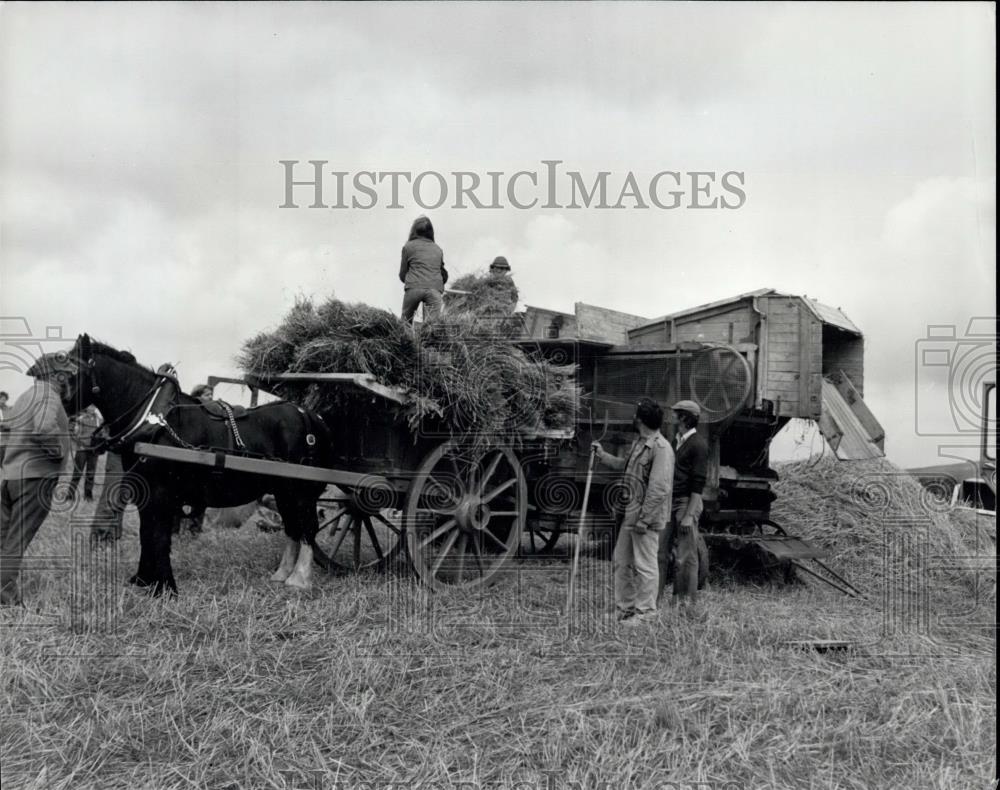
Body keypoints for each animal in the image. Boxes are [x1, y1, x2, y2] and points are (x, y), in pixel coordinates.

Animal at [60, 332, 334, 596]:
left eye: (68, 372)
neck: (153, 419)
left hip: (301, 490)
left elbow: (158, 535)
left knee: (308, 527)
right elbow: (146, 533)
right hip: (283, 490)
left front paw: (164, 588)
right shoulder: (145, 491)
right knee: (293, 527)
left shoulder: (160, 493)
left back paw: (299, 580)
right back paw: (282, 574)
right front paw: (143, 580)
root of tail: (311, 415)